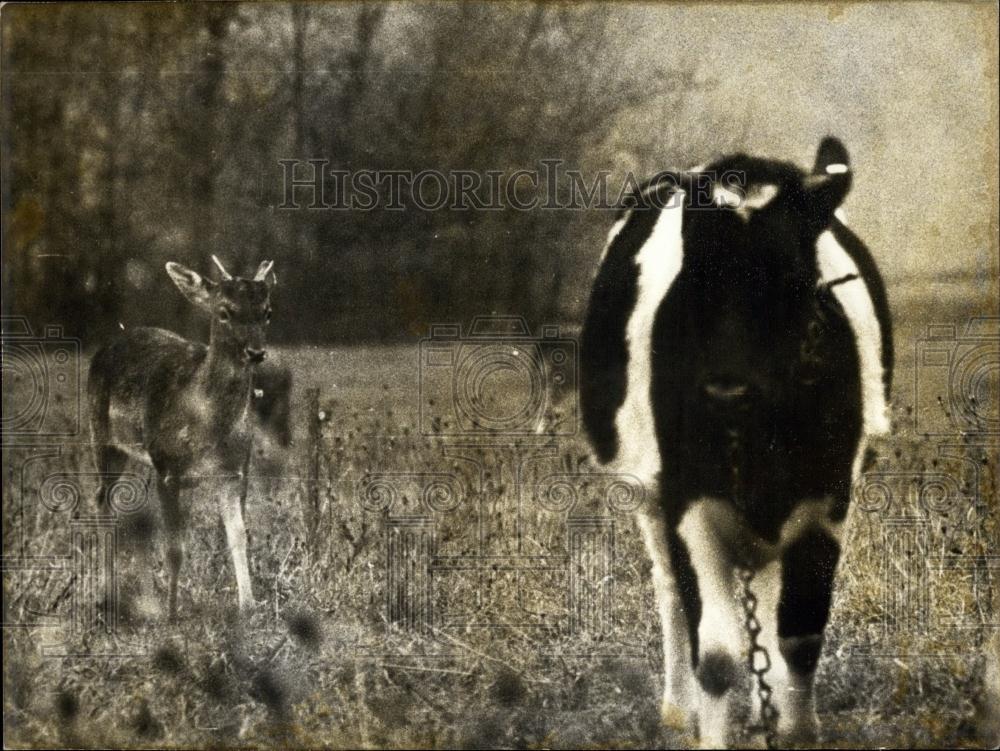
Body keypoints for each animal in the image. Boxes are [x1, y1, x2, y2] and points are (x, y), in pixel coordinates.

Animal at [88, 256, 276, 620]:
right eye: (224, 311)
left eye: (267, 311)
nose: (256, 352)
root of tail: (104, 347)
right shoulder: (169, 467)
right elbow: (174, 548)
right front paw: (172, 613)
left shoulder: (234, 471)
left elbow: (239, 536)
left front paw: (249, 606)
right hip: (103, 437)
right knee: (102, 499)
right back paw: (106, 595)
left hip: (142, 458)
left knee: (137, 516)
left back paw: (146, 598)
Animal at [584, 140, 896, 748]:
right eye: (693, 276)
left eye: (791, 274)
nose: (725, 387)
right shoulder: (687, 501)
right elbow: (717, 657)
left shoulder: (827, 499)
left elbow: (801, 633)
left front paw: (797, 730)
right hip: (647, 495)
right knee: (671, 594)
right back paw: (677, 708)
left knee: (770, 610)